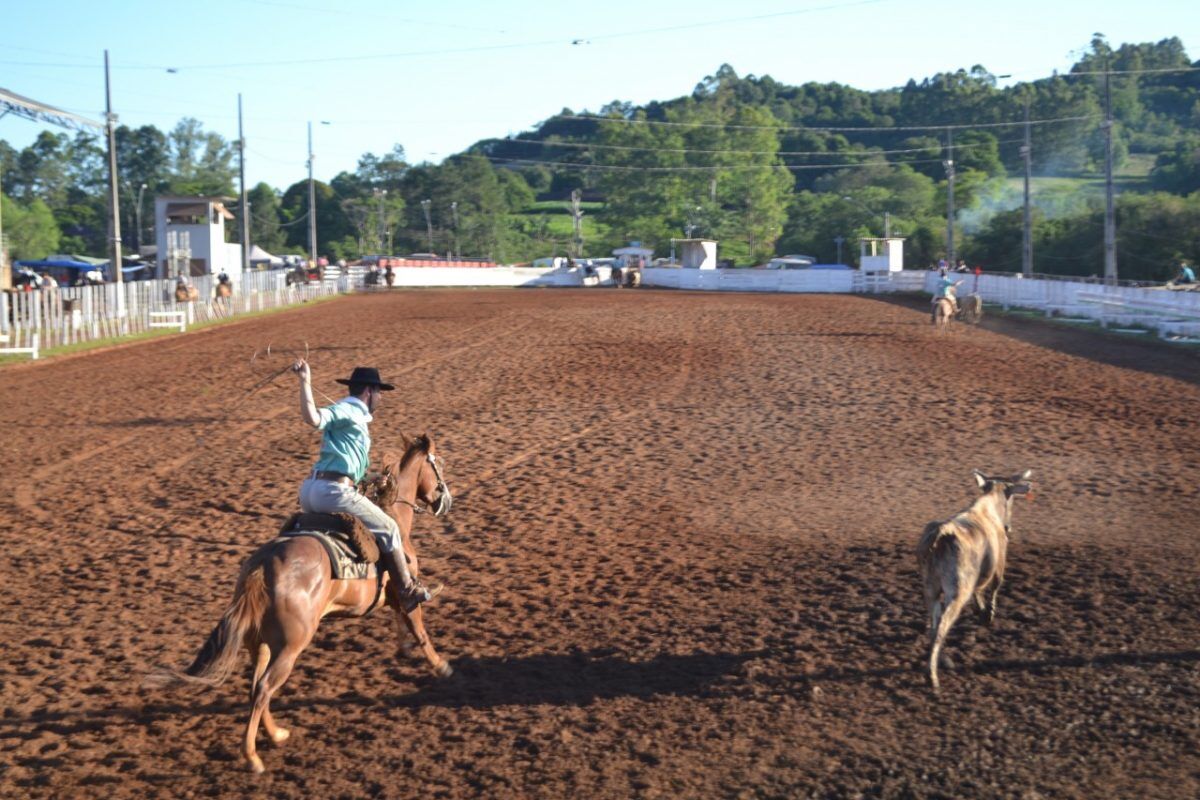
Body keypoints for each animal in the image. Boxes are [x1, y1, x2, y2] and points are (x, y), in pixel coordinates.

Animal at [146, 434, 453, 772]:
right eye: (438, 463)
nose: (446, 500)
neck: (394, 515)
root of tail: (262, 567)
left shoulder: (393, 600)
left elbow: (402, 624)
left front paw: (405, 648)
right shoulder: (406, 592)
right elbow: (419, 628)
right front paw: (441, 666)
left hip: (260, 644)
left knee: (255, 687)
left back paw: (276, 733)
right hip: (290, 647)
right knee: (264, 688)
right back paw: (252, 756)